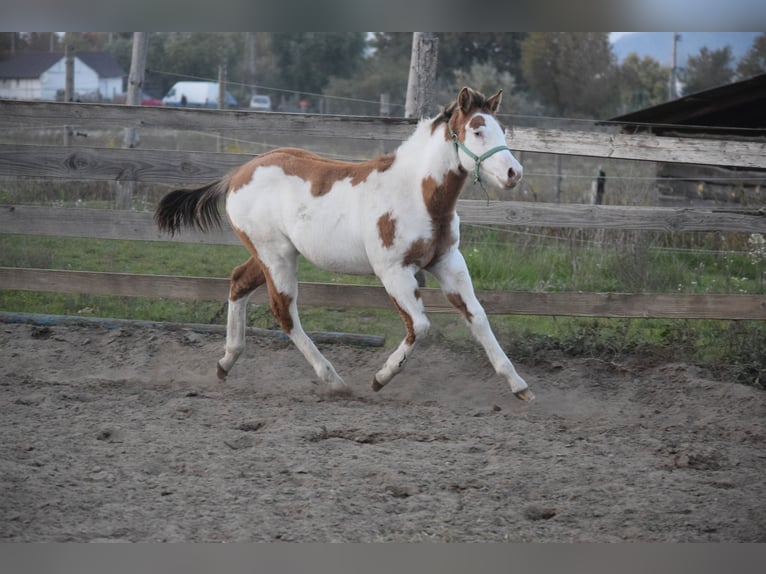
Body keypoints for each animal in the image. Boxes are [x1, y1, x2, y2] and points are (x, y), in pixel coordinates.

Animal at [155, 86, 536, 400]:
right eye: (477, 129)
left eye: (501, 129)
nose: (514, 173)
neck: (418, 194)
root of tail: (237, 174)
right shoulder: (394, 271)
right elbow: (421, 326)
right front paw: (380, 378)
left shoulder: (448, 263)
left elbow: (478, 316)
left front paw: (520, 386)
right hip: (276, 257)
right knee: (284, 311)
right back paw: (333, 380)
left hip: (270, 254)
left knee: (238, 282)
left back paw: (226, 362)